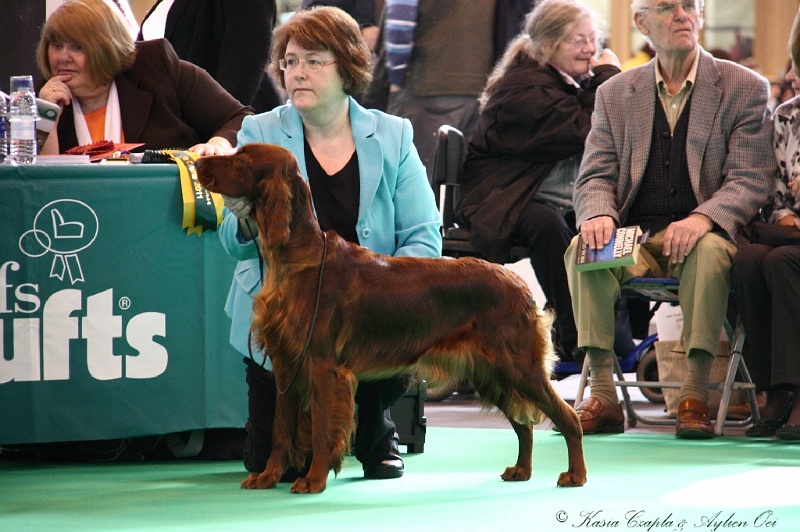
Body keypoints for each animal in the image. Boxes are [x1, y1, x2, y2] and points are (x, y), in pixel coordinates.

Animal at [197, 143, 584, 492]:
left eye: (242, 160)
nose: (199, 161)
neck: (298, 257)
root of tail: (518, 282)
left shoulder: (323, 366)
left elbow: (322, 430)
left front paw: (313, 480)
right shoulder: (286, 366)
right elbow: (279, 432)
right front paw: (267, 477)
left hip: (517, 366)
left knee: (567, 417)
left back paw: (575, 475)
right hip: (491, 372)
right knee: (524, 423)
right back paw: (522, 470)